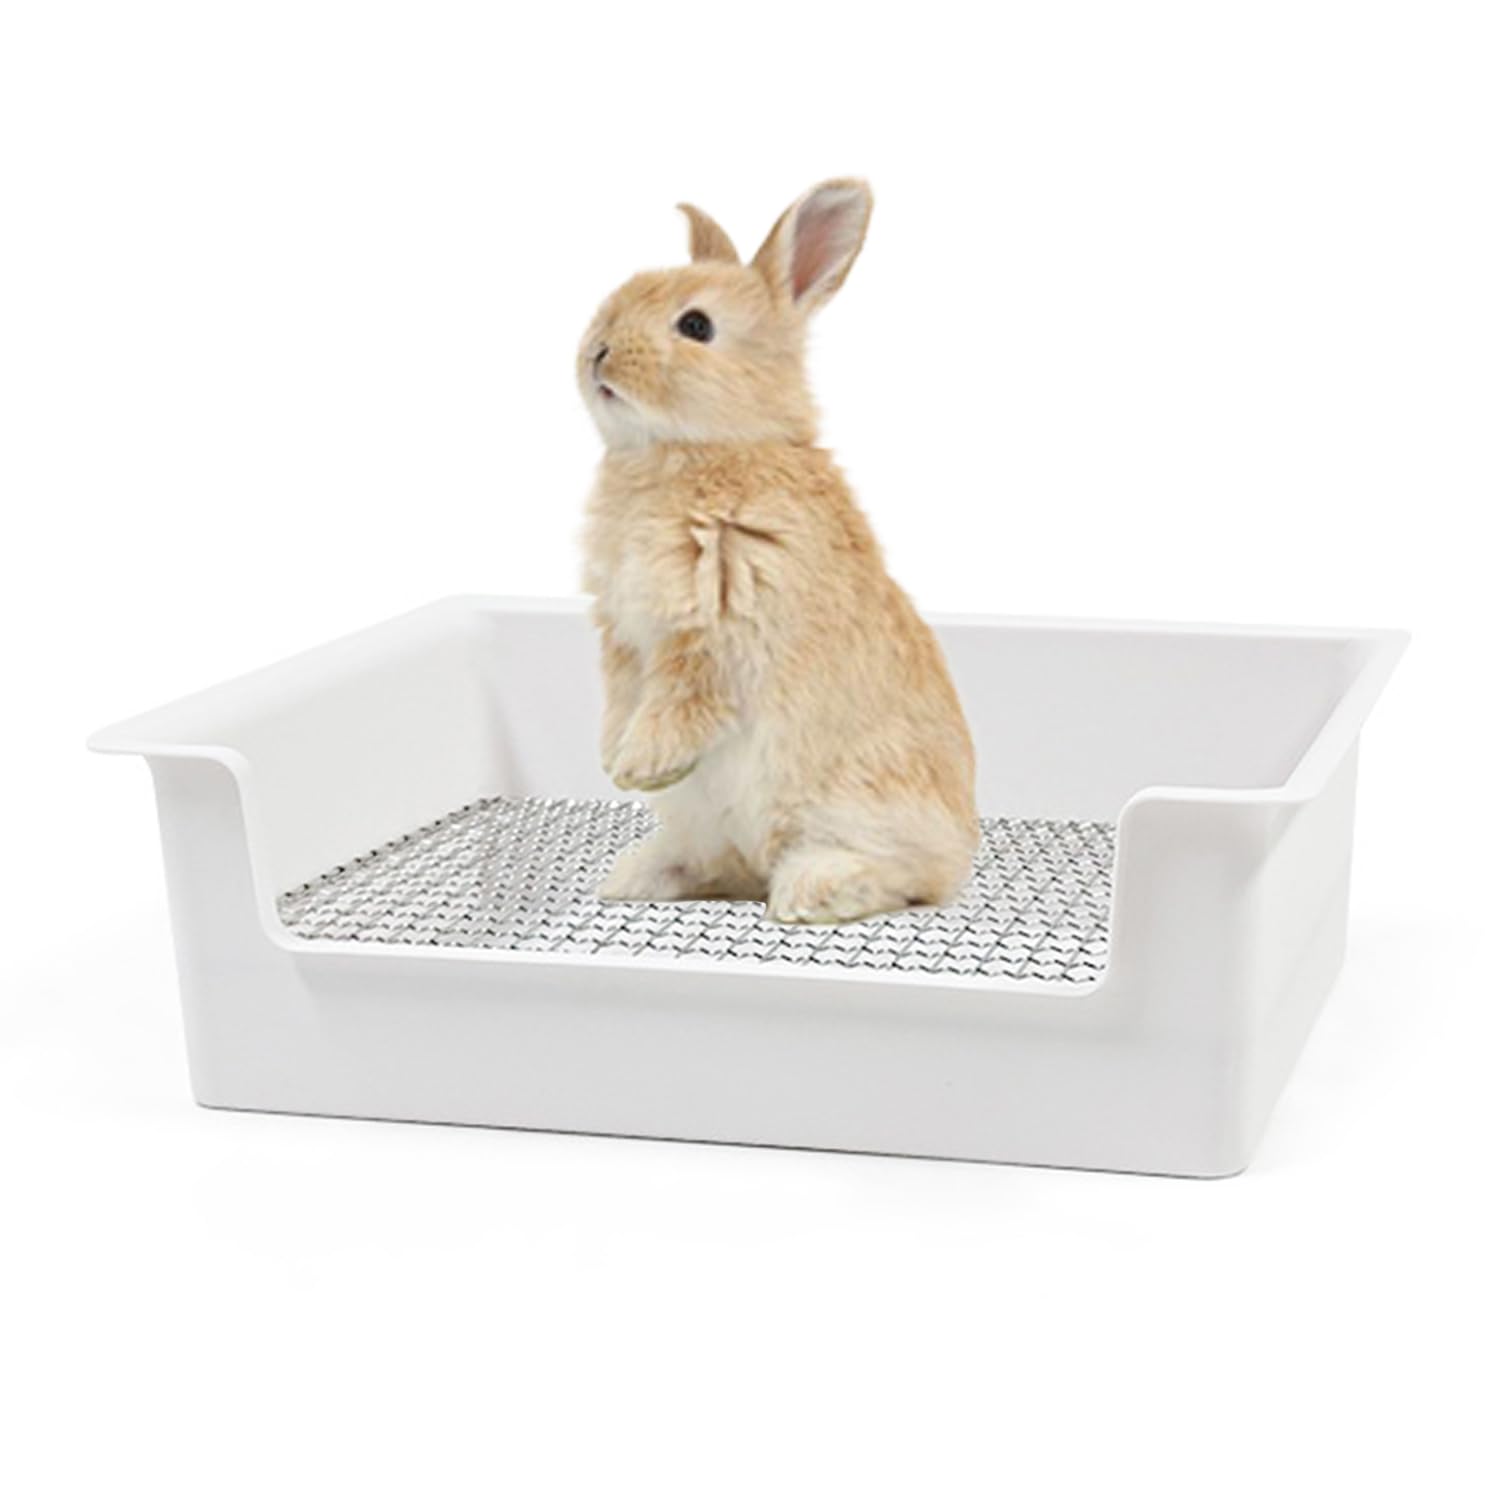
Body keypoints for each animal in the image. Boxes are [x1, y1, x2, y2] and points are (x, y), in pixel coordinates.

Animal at [578, 178, 978, 924]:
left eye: (696, 326)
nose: (597, 351)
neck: (705, 447)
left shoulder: (716, 626)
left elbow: (680, 701)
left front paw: (640, 765)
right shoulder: (621, 636)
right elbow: (622, 699)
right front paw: (614, 761)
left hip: (860, 804)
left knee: (910, 876)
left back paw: (810, 889)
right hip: (711, 829)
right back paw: (636, 875)